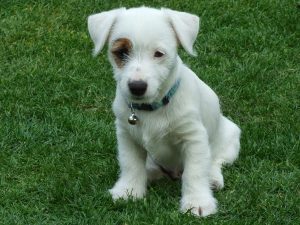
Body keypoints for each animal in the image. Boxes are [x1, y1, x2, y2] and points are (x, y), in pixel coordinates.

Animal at [87, 6, 241, 216]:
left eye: (158, 54)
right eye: (122, 52)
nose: (137, 87)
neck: (152, 108)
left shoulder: (193, 138)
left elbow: (195, 172)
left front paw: (197, 202)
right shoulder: (126, 135)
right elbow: (130, 164)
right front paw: (128, 190)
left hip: (230, 139)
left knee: (215, 161)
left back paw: (212, 178)